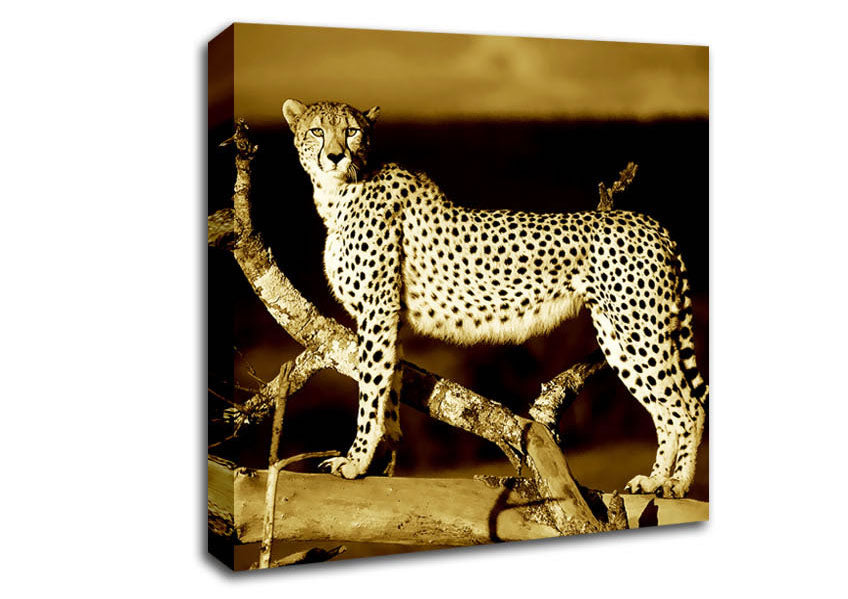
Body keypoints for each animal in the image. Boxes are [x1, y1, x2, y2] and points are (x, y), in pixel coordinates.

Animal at [282, 99, 708, 498]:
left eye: (351, 131)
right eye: (318, 131)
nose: (335, 156)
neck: (339, 191)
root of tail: (650, 222)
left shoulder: (377, 311)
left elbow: (371, 388)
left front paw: (355, 462)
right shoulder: (390, 318)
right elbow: (390, 386)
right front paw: (380, 460)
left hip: (641, 331)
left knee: (687, 406)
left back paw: (676, 484)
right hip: (618, 336)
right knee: (664, 410)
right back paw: (655, 480)